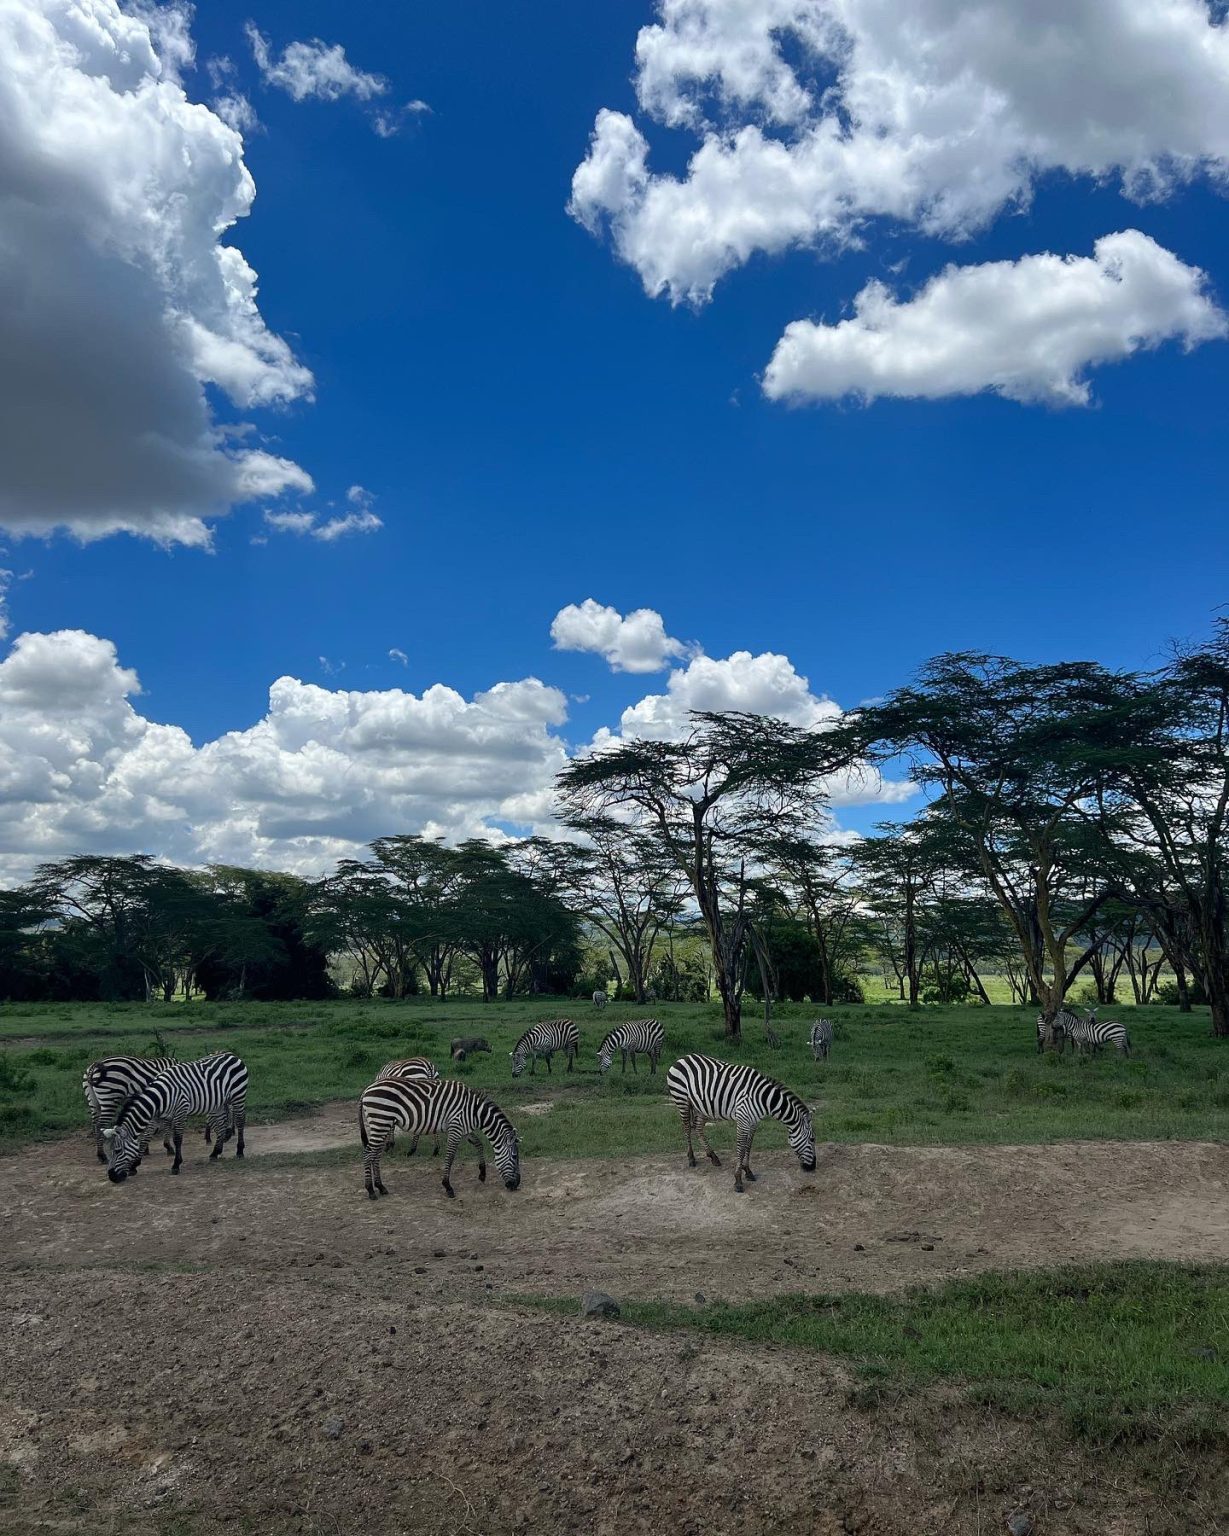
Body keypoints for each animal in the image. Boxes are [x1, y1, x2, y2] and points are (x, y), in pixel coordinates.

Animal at [102, 1050, 248, 1179]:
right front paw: (134, 1166)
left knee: (240, 1122)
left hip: (238, 1096)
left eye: (117, 1151)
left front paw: (176, 1165)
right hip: (218, 1104)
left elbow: (177, 1139)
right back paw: (215, 1153)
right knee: (221, 1127)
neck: (161, 1097)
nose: (112, 1177)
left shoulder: (180, 1111)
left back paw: (240, 1151)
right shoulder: (156, 1116)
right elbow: (145, 1138)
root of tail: (232, 1055)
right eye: (110, 1151)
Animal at [359, 1069, 522, 1198]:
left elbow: (479, 1144)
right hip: (381, 1121)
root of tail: (367, 1089)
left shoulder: (464, 1128)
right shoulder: (456, 1128)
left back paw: (381, 1187)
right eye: (514, 1157)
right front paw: (447, 1186)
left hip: (383, 1124)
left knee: (376, 1154)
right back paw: (370, 1190)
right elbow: (450, 1156)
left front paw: (482, 1174)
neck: (475, 1111)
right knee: (367, 1153)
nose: (516, 1185)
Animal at [666, 1056, 811, 1198]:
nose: (812, 1167)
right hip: (682, 1099)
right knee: (686, 1128)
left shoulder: (753, 1122)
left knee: (698, 1128)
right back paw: (691, 1158)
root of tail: (682, 1058)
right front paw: (738, 1180)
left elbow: (748, 1146)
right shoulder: (743, 1120)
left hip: (701, 1106)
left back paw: (713, 1157)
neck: (763, 1098)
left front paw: (747, 1171)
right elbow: (741, 1148)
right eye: (812, 1139)